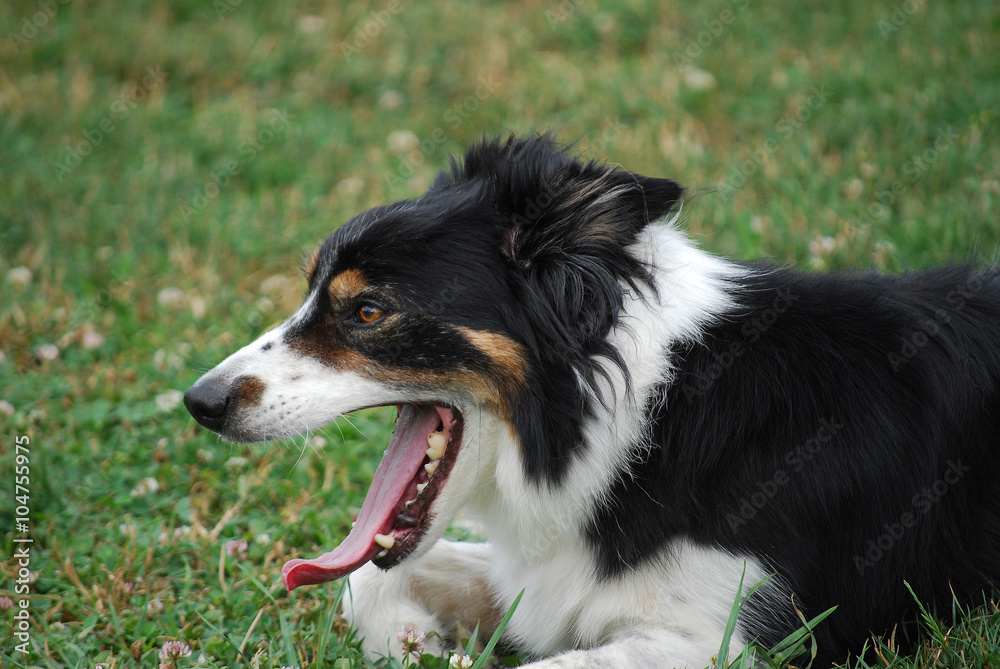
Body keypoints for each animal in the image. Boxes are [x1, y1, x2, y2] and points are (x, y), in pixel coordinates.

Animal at [186, 133, 1000, 664]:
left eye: (366, 311)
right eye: (313, 292)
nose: (199, 401)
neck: (642, 424)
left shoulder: (720, 638)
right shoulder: (549, 573)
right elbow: (364, 581)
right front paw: (413, 640)